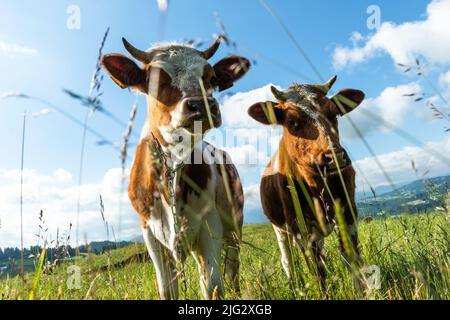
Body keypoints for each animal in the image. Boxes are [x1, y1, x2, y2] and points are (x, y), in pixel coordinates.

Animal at [102, 37, 250, 300]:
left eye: (212, 79)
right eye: (155, 80)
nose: (201, 104)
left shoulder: (210, 224)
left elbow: (213, 286)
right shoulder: (149, 233)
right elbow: (168, 289)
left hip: (234, 226)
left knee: (231, 269)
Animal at [246, 76, 366, 288]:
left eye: (334, 113)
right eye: (291, 121)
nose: (335, 157)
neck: (317, 184)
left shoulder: (348, 210)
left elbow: (351, 257)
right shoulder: (298, 226)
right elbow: (317, 271)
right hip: (280, 229)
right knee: (288, 261)